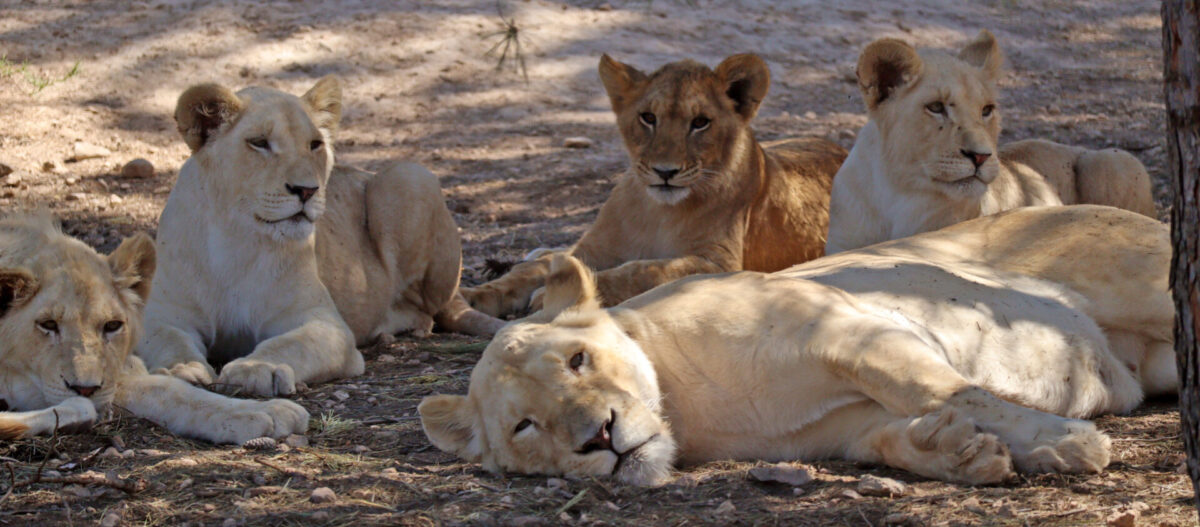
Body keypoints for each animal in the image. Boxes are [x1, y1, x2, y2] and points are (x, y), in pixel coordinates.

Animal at [0, 214, 308, 443]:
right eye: (48, 324)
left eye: (112, 326)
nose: (86, 390)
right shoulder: (20, 382)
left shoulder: (111, 377)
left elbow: (170, 390)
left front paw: (261, 411)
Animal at [137, 76, 503, 397]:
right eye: (259, 143)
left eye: (315, 145)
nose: (307, 190)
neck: (235, 238)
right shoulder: (164, 314)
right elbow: (167, 339)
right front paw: (179, 369)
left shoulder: (327, 325)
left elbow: (289, 344)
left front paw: (257, 367)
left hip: (407, 175)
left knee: (426, 309)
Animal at [420, 205, 1173, 486]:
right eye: (526, 425)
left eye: (578, 360)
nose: (598, 437)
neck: (690, 408)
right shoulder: (839, 425)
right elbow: (890, 437)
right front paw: (959, 452)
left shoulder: (856, 332)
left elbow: (951, 389)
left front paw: (1069, 442)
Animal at [461, 53, 846, 318]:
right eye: (648, 118)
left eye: (700, 122)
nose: (665, 171)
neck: (657, 210)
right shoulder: (594, 248)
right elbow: (536, 270)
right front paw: (473, 296)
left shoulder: (719, 265)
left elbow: (643, 269)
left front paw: (548, 296)